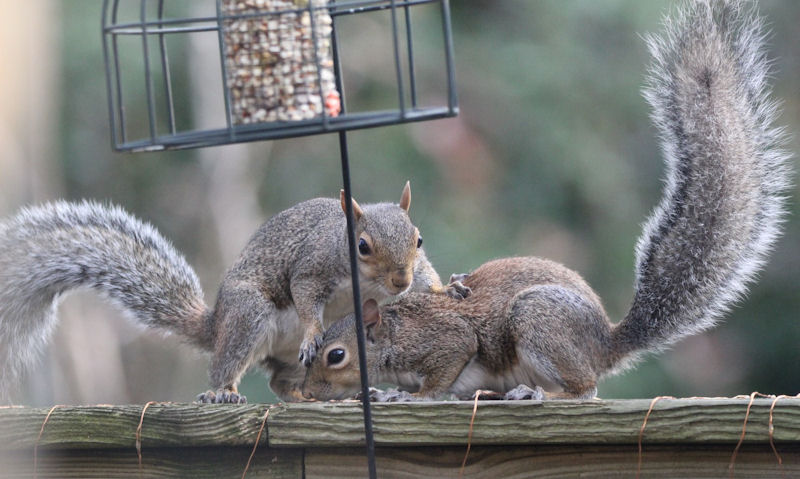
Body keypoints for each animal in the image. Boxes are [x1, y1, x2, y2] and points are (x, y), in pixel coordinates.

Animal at [0, 182, 468, 404]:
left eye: (419, 239)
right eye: (363, 246)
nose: (399, 282)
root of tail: (216, 323)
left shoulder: (415, 272)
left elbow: (429, 281)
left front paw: (451, 286)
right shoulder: (312, 266)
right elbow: (304, 296)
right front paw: (313, 332)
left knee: (280, 382)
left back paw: (320, 394)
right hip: (249, 315)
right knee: (231, 366)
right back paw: (222, 391)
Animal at [300, 0, 792, 404]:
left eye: (336, 355)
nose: (305, 392)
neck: (393, 331)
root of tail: (604, 344)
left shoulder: (446, 340)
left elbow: (444, 371)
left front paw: (412, 396)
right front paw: (383, 393)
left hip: (539, 323)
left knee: (585, 389)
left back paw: (537, 393)